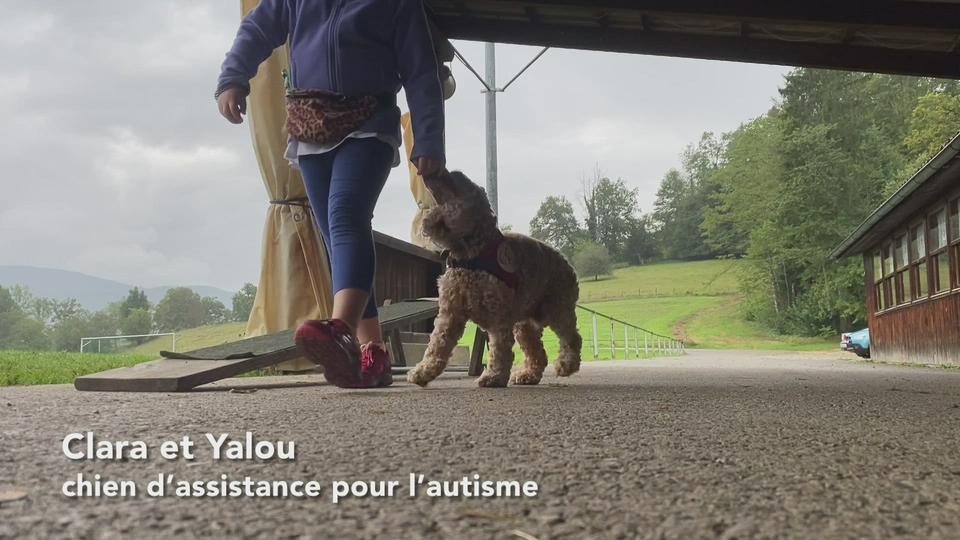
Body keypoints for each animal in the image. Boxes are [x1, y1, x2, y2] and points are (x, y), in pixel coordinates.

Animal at [406, 171, 580, 386]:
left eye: (456, 179)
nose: (431, 173)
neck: (471, 257)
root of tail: (567, 264)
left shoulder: (498, 315)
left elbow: (499, 349)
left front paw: (494, 376)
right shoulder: (450, 314)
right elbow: (436, 345)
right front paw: (423, 372)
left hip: (556, 309)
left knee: (572, 337)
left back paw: (567, 365)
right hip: (525, 324)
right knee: (537, 353)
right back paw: (528, 375)